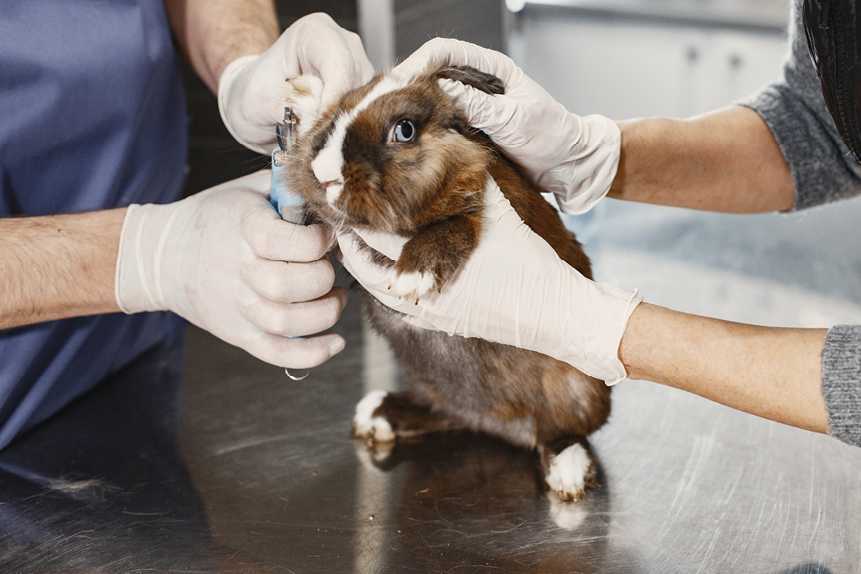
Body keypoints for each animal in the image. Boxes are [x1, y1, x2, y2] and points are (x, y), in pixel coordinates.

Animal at [280, 65, 610, 501]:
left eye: (404, 130)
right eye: (338, 115)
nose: (324, 174)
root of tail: (495, 423)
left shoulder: (481, 205)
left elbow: (455, 227)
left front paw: (410, 278)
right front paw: (305, 95)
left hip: (579, 390)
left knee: (557, 433)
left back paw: (568, 473)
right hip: (433, 387)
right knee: (444, 413)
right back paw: (378, 415)